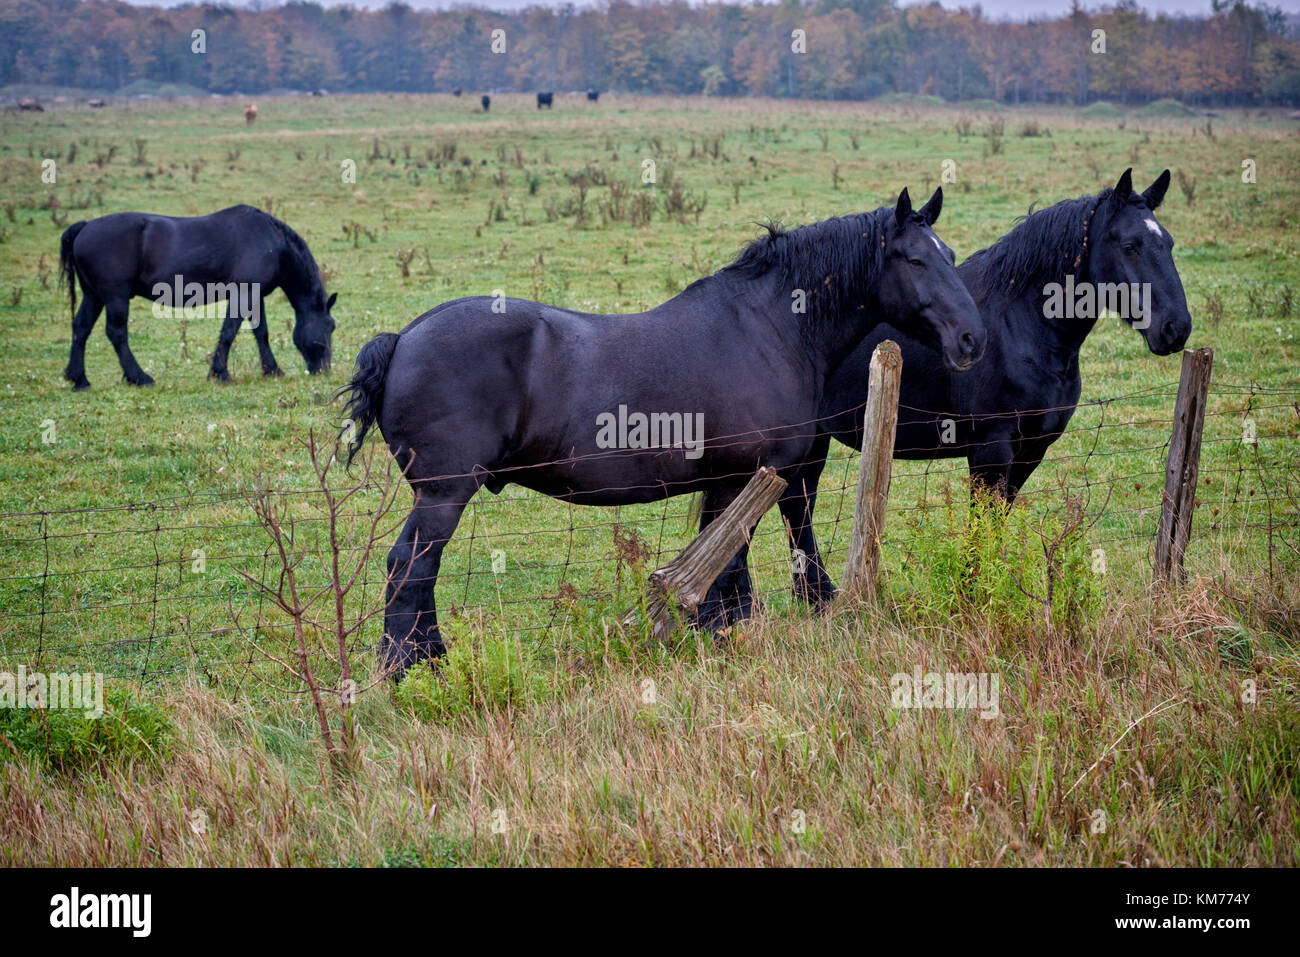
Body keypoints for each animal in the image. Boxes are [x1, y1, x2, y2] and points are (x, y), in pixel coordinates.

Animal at [60, 205, 335, 390]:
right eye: (330, 326)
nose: (324, 370)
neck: (271, 242)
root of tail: (84, 227)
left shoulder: (255, 297)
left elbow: (261, 333)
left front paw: (272, 370)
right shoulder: (242, 294)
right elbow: (229, 332)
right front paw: (220, 374)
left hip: (94, 296)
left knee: (80, 328)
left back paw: (80, 379)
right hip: (115, 297)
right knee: (116, 333)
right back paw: (140, 377)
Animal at [774, 170, 1190, 605]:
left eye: (1168, 242)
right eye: (1129, 245)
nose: (1176, 328)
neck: (1021, 325)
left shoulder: (1031, 450)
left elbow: (998, 520)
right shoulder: (992, 448)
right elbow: (983, 521)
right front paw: (975, 592)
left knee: (797, 502)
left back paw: (815, 594)